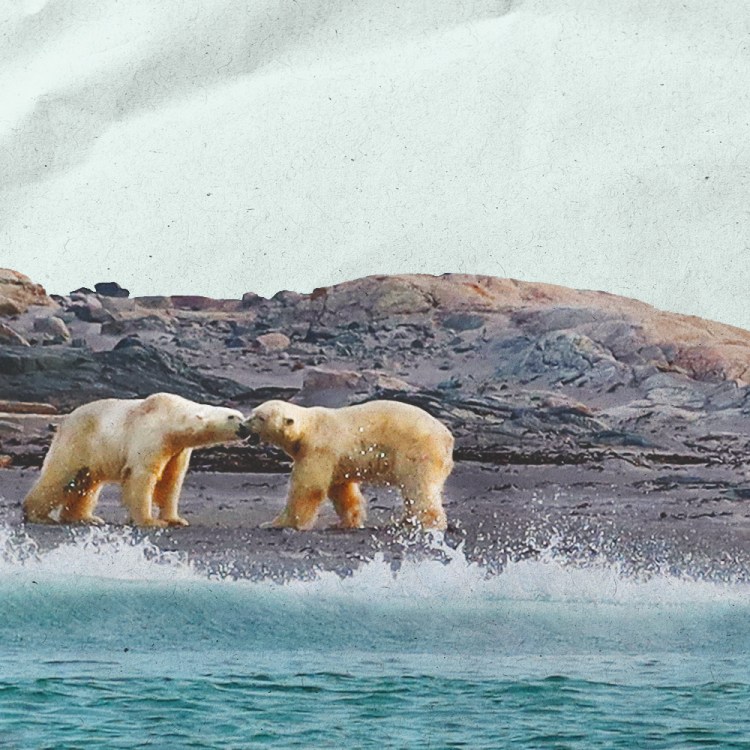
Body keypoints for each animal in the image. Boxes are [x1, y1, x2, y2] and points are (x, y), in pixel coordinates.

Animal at [22, 394, 247, 528]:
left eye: (241, 415)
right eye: (231, 417)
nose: (245, 427)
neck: (171, 416)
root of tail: (64, 421)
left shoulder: (177, 449)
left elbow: (172, 480)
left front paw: (176, 519)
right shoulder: (151, 434)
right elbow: (143, 476)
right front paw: (151, 521)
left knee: (86, 485)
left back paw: (86, 517)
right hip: (79, 442)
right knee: (60, 476)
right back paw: (37, 515)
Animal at [245, 402, 452, 532]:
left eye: (260, 417)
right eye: (253, 413)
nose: (244, 424)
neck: (308, 429)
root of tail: (448, 438)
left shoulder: (318, 448)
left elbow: (308, 488)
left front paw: (278, 524)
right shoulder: (335, 459)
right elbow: (342, 490)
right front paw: (345, 523)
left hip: (418, 450)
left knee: (418, 488)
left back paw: (427, 523)